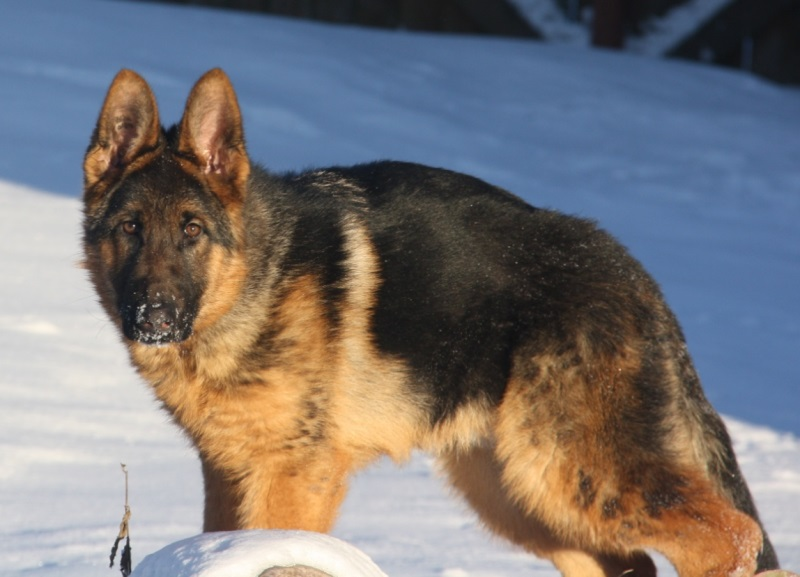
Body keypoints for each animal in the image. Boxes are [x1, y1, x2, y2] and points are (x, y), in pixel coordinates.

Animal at [84, 70, 780, 572]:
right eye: (130, 228)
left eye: (192, 231)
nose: (153, 315)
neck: (256, 284)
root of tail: (634, 273)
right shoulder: (227, 471)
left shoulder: (293, 478)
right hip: (518, 491)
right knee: (634, 561)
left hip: (572, 469)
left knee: (732, 535)